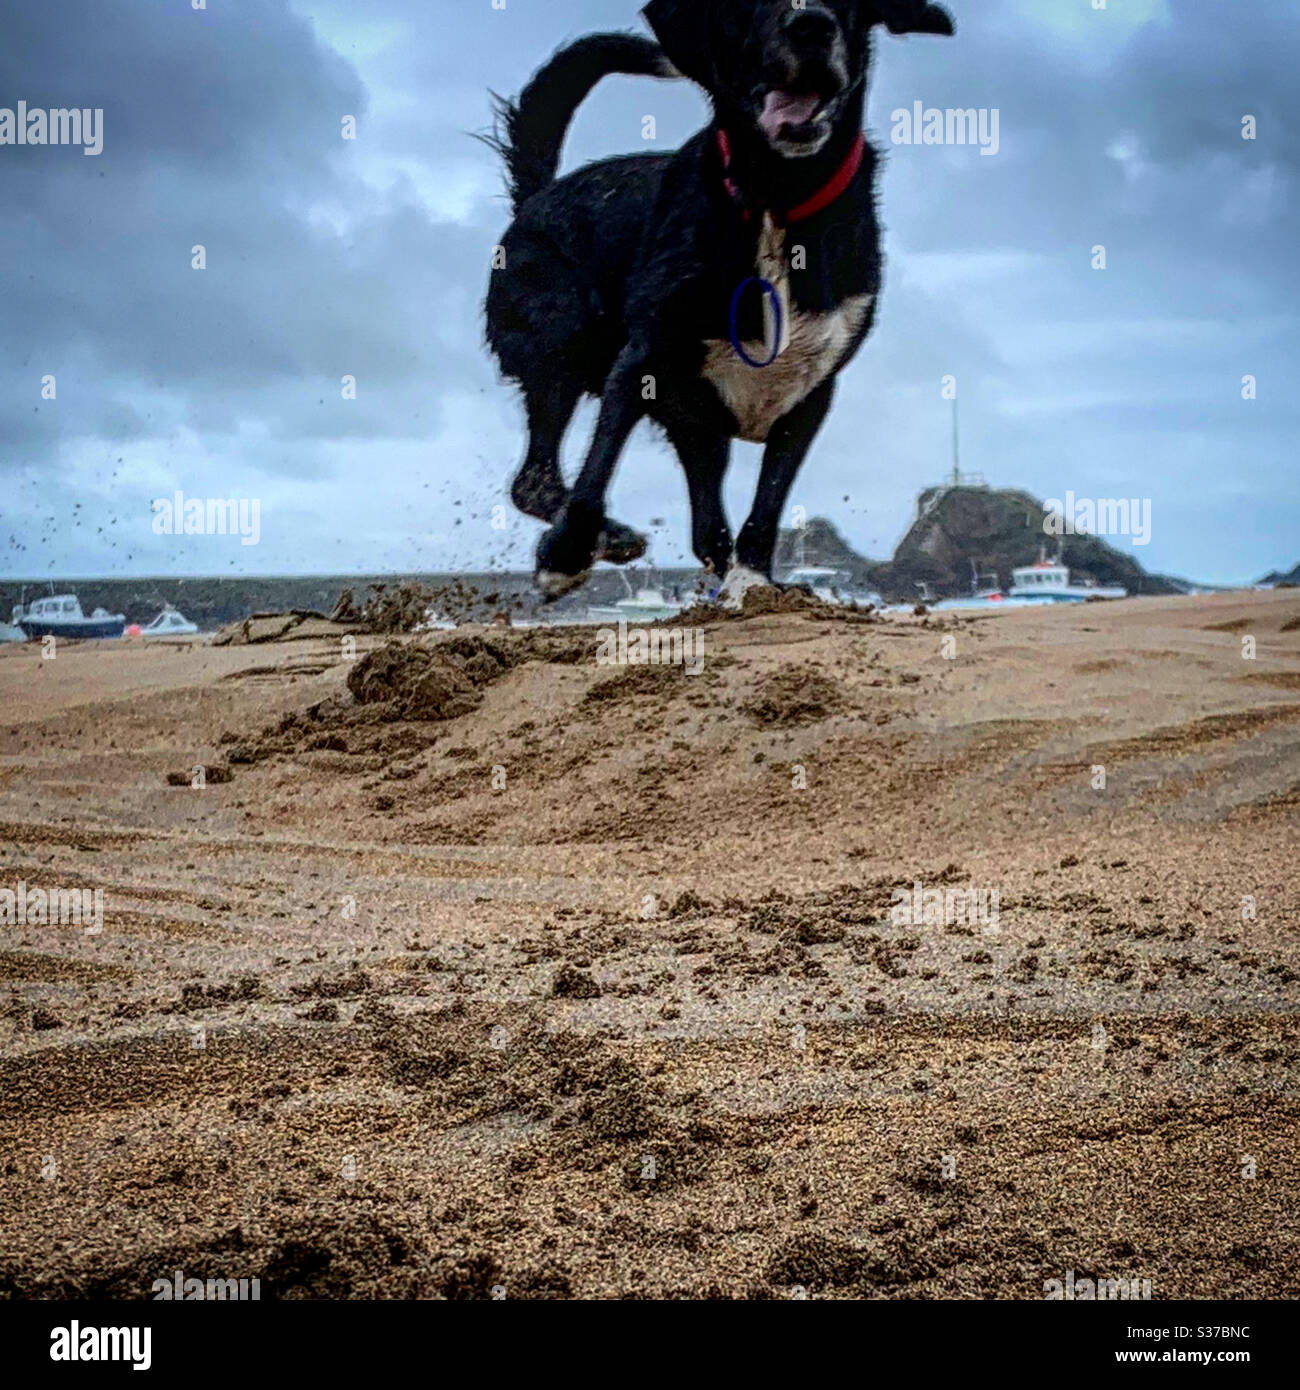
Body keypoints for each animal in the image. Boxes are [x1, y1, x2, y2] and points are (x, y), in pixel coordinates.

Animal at [489, 4, 956, 603]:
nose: (811, 24)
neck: (776, 197)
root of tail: (537, 195)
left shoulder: (812, 392)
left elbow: (768, 500)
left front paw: (753, 578)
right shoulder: (641, 358)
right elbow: (596, 470)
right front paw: (566, 555)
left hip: (697, 430)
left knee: (704, 528)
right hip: (563, 339)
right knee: (535, 479)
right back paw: (605, 536)